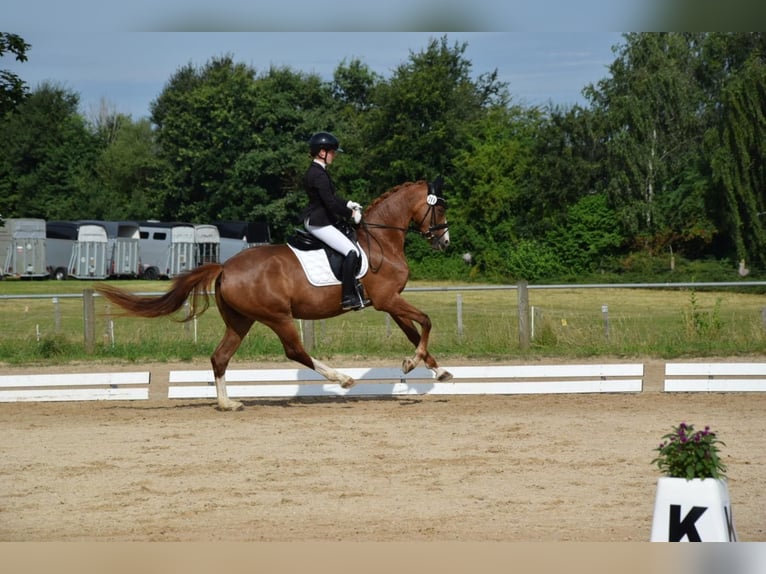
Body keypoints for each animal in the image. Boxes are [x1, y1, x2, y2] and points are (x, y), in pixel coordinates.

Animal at [98, 179, 452, 410]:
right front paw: (412, 364)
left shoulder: (389, 303)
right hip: (277, 316)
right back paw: (342, 379)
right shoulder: (388, 300)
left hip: (241, 321)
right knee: (295, 351)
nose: (444, 242)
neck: (381, 241)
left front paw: (436, 370)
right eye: (440, 210)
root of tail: (225, 267)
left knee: (220, 356)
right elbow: (427, 321)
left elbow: (413, 331)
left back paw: (227, 403)